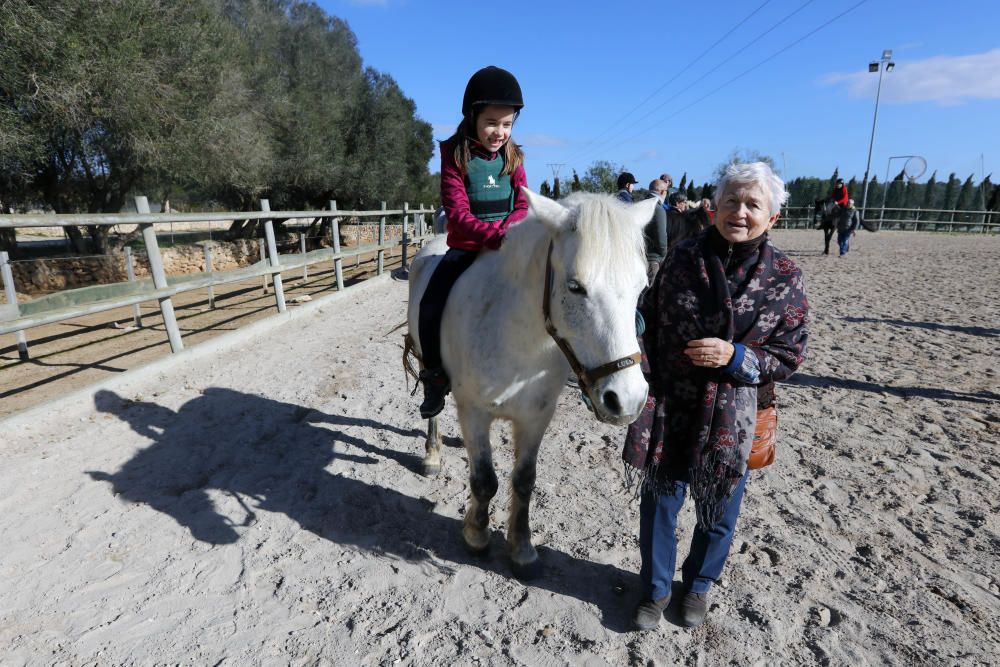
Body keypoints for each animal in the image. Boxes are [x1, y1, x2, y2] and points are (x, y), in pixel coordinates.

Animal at [406, 189, 656, 580]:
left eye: (642, 287)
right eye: (575, 287)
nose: (627, 400)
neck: (513, 332)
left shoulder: (536, 417)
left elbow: (524, 481)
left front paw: (521, 550)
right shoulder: (474, 412)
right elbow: (484, 480)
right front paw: (477, 537)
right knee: (433, 407)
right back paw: (432, 453)